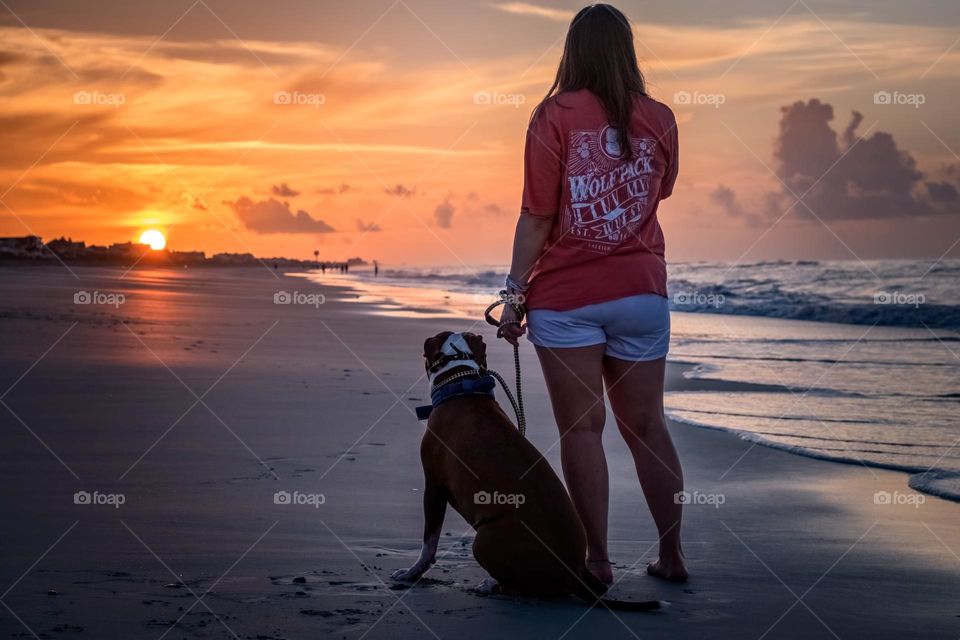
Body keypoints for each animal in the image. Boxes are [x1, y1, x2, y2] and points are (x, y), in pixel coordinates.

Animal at [392, 330, 660, 608]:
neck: (461, 383)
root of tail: (571, 573)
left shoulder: (434, 487)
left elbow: (429, 542)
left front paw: (411, 573)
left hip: (484, 540)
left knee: (517, 589)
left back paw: (491, 586)